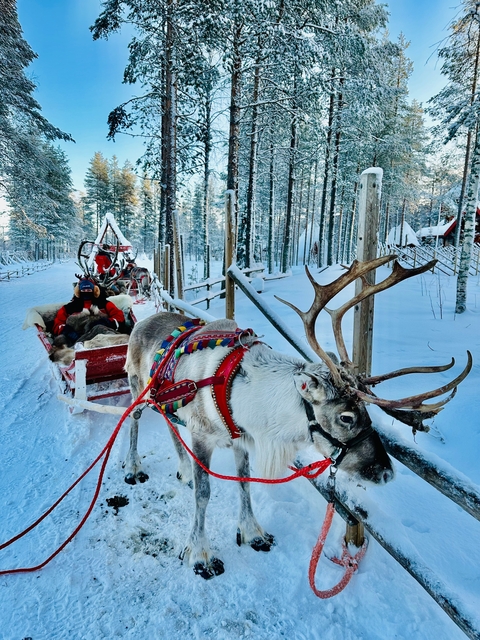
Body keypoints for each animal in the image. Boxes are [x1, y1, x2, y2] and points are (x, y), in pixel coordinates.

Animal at [123, 255, 471, 579]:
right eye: (346, 417)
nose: (386, 473)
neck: (244, 395)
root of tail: (143, 321)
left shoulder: (239, 438)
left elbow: (244, 483)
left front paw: (253, 532)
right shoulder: (202, 435)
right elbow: (204, 493)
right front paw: (199, 554)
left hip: (161, 400)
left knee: (169, 422)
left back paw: (182, 469)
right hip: (137, 385)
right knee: (134, 419)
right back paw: (134, 468)